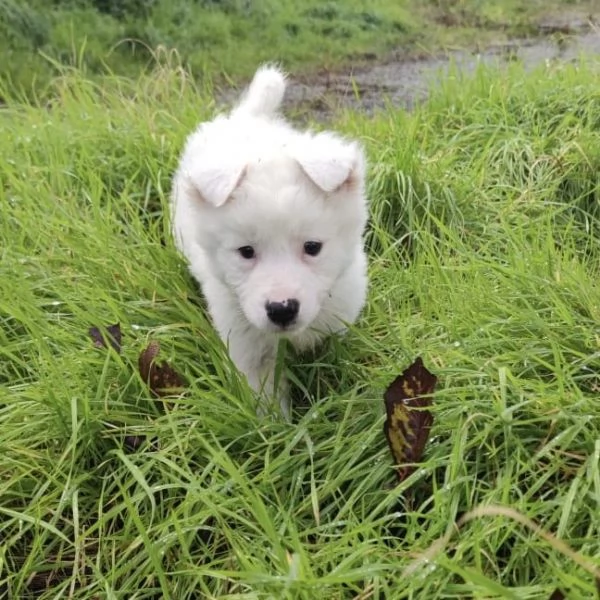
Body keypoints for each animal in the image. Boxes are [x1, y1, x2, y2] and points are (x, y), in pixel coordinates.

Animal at [169, 64, 366, 412]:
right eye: (246, 252)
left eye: (312, 247)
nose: (282, 309)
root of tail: (246, 116)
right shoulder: (248, 346)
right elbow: (267, 403)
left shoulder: (335, 324)